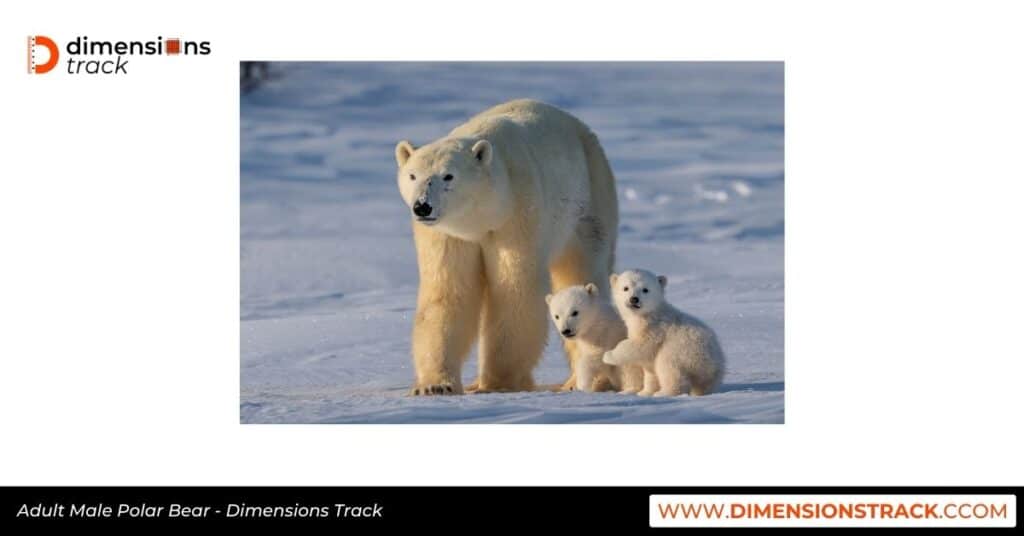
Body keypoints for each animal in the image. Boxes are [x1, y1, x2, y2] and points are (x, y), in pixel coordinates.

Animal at [391, 99, 614, 393]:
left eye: (448, 176)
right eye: (413, 175)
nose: (422, 206)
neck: (483, 215)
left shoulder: (517, 214)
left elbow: (515, 290)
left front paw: (498, 383)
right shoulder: (448, 235)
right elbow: (448, 293)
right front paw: (434, 385)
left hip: (588, 200)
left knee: (582, 269)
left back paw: (581, 380)